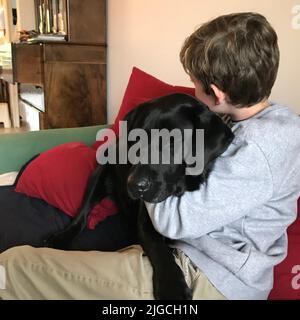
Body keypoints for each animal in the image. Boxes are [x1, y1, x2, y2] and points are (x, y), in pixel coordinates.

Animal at [45, 93, 234, 300]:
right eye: (136, 139)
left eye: (172, 141)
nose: (134, 185)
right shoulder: (145, 222)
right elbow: (160, 249)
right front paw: (172, 287)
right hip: (99, 175)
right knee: (83, 213)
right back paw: (61, 237)